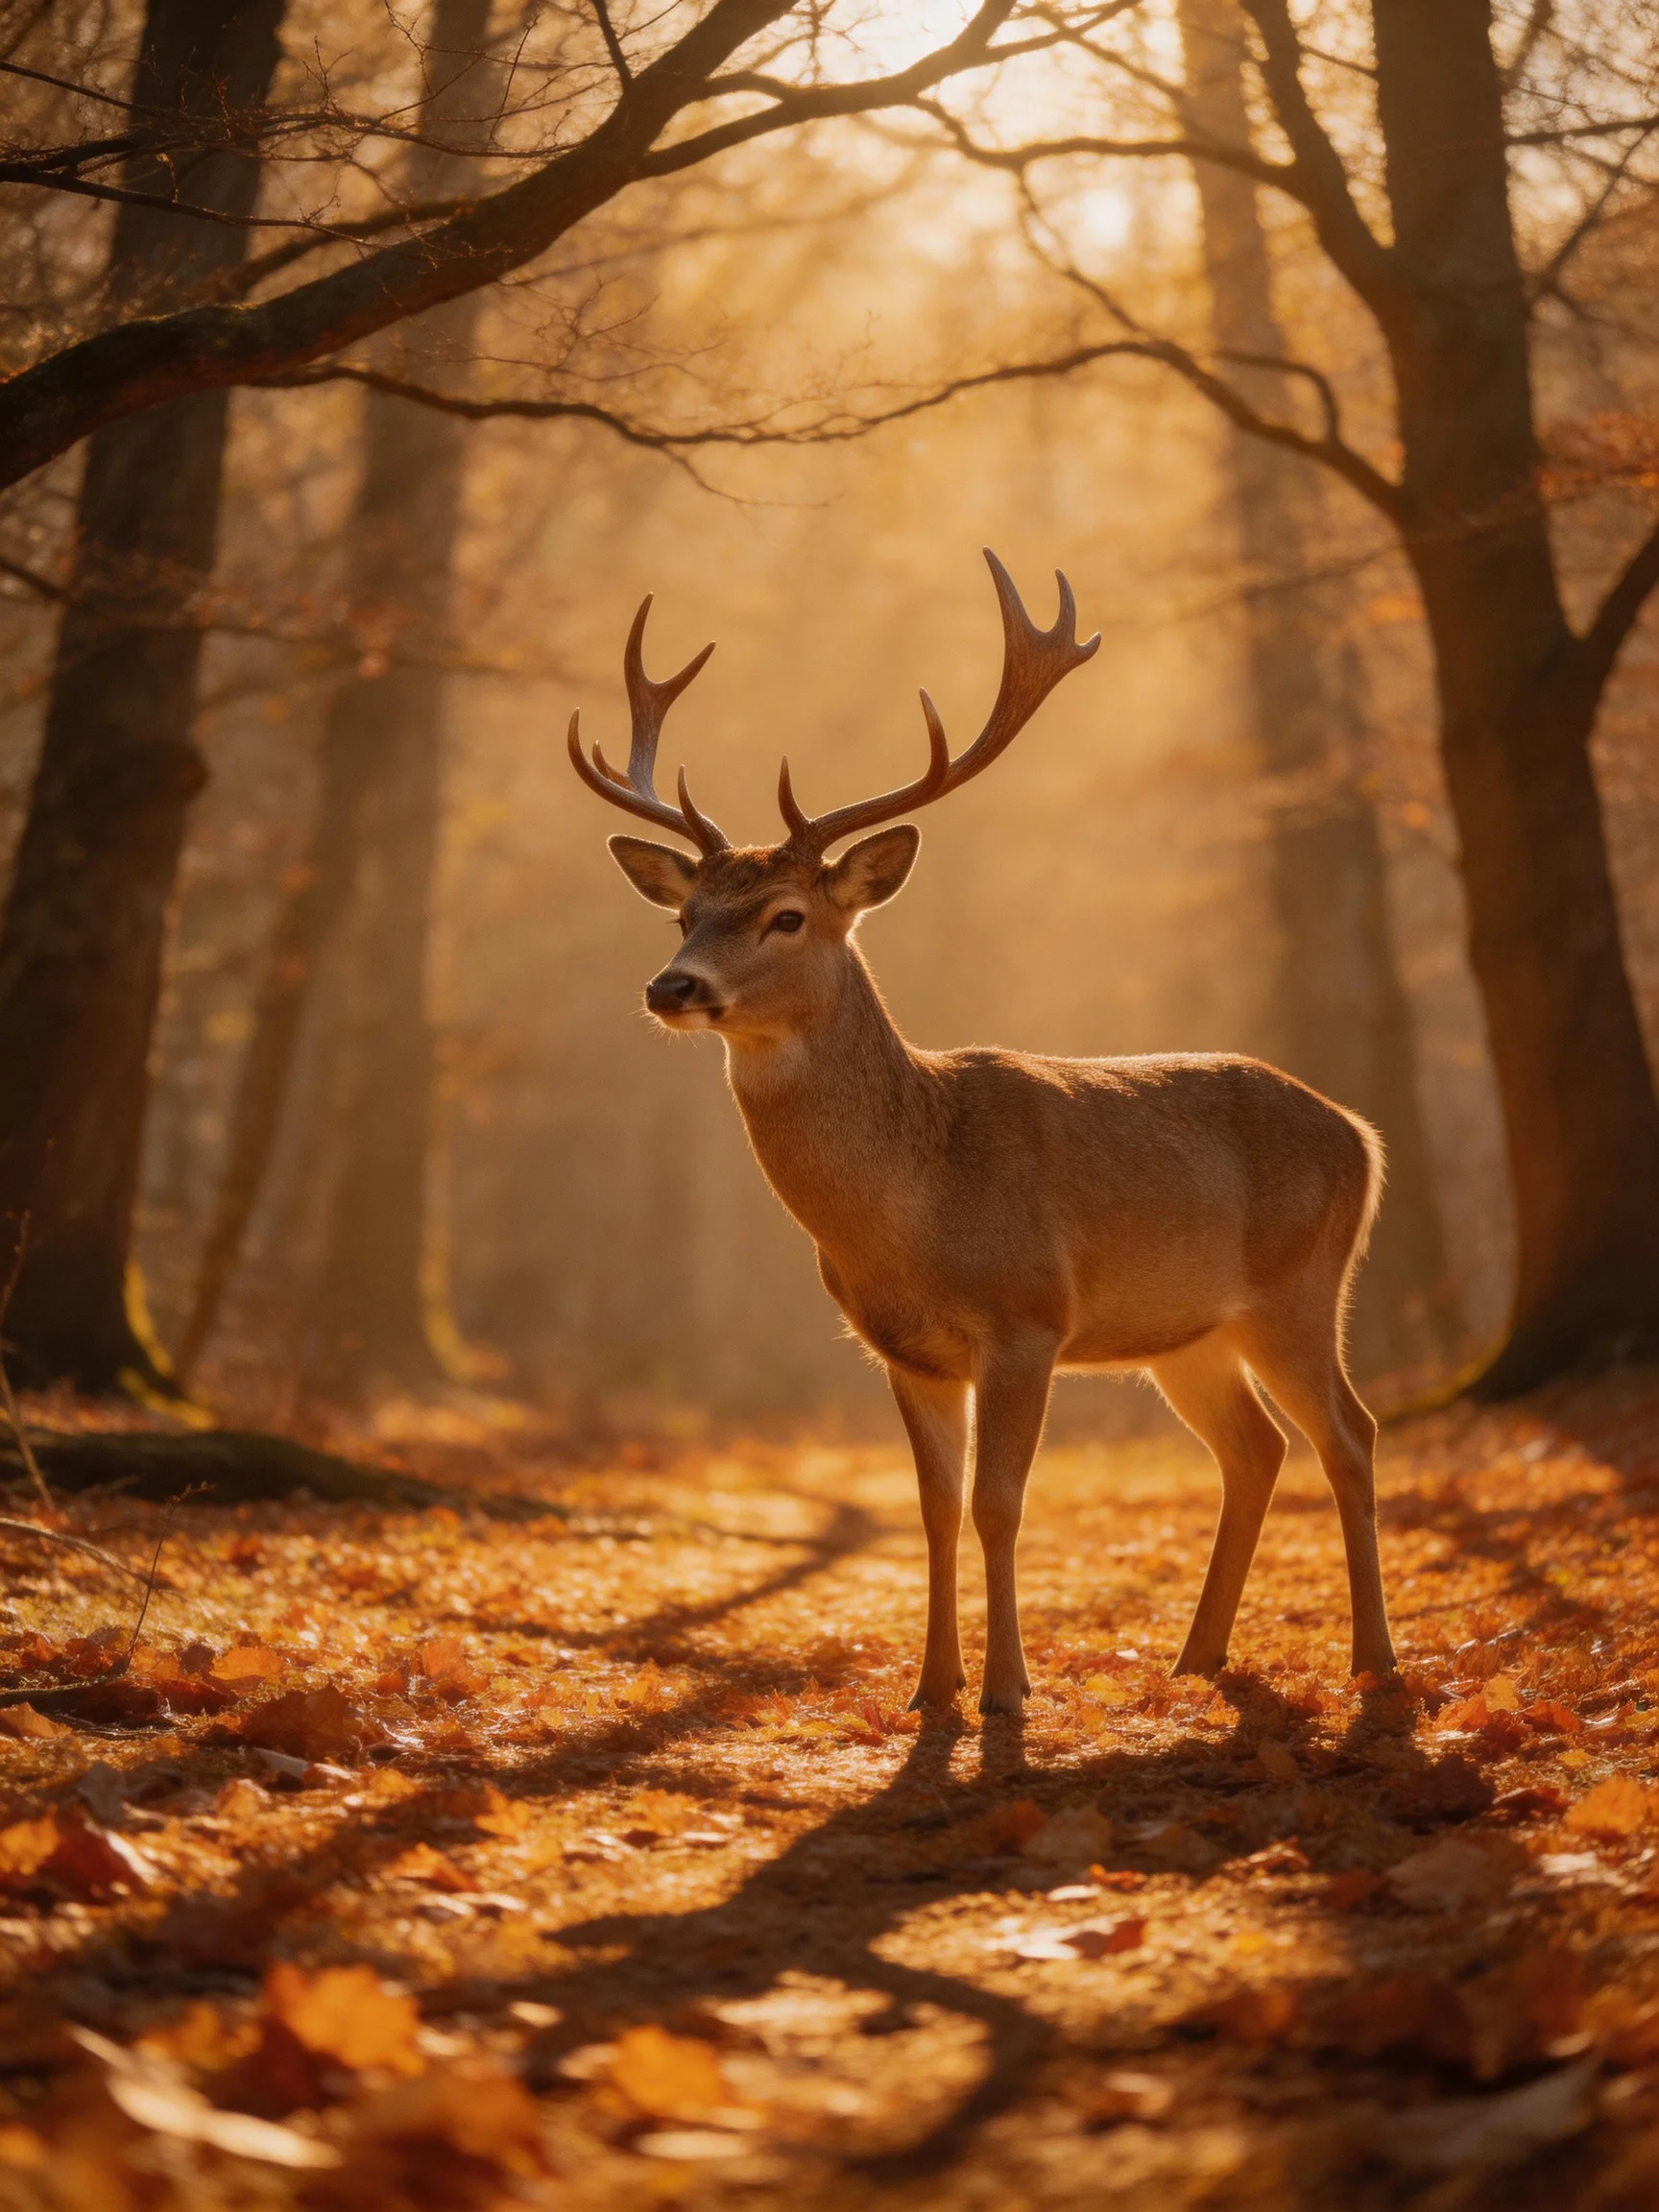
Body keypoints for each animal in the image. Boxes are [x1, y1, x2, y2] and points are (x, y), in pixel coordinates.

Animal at [569, 550, 1396, 1713]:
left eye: (787, 915)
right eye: (685, 914)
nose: (670, 986)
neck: (915, 1207)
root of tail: (1363, 1134)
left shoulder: (1028, 1317)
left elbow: (999, 1504)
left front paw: (1007, 1689)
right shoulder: (904, 1350)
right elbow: (930, 1510)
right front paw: (933, 1687)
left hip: (1301, 1286)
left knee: (1350, 1436)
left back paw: (1374, 1661)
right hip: (1190, 1331)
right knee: (1256, 1449)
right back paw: (1197, 1658)